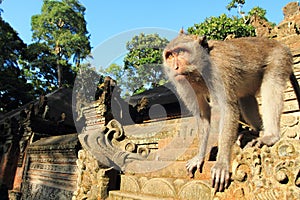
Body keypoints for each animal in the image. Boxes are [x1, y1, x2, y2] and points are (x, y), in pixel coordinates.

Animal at [164, 30, 300, 192]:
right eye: (170, 56)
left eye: (180, 52)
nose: (175, 67)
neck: (199, 72)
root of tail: (281, 45)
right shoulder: (185, 85)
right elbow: (203, 115)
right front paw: (199, 157)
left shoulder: (219, 68)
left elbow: (227, 109)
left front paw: (221, 163)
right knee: (246, 98)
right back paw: (256, 131)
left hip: (279, 58)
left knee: (271, 86)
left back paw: (270, 135)